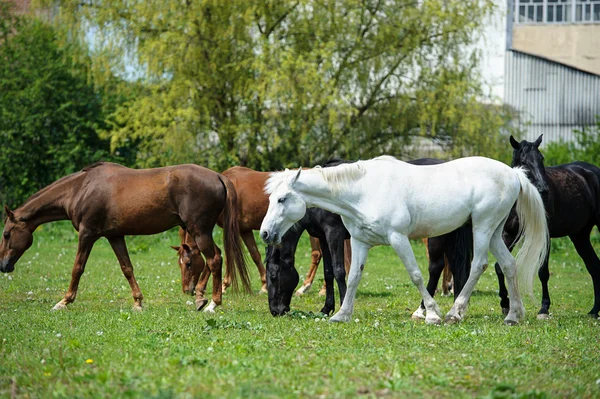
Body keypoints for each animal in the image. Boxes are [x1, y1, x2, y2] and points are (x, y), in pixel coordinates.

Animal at [0, 162, 251, 312]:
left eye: (5, 234)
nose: (4, 265)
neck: (80, 188)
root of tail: (218, 176)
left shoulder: (87, 233)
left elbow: (77, 268)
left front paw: (64, 301)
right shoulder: (115, 236)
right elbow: (127, 268)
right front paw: (138, 302)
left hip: (199, 231)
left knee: (215, 259)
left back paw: (212, 304)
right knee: (214, 258)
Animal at [258, 155, 548, 324]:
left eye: (282, 199)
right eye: (270, 198)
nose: (265, 233)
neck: (362, 190)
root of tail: (514, 174)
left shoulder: (398, 238)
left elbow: (416, 274)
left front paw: (431, 313)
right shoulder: (360, 241)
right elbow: (353, 277)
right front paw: (342, 313)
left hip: (483, 227)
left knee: (478, 265)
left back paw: (454, 313)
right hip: (495, 232)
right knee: (509, 265)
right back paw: (513, 315)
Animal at [492, 136, 600, 320]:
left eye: (541, 159)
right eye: (523, 161)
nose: (543, 190)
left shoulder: (545, 236)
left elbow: (543, 272)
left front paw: (544, 308)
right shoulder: (508, 235)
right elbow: (500, 267)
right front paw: (505, 304)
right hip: (580, 236)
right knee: (594, 267)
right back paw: (594, 311)